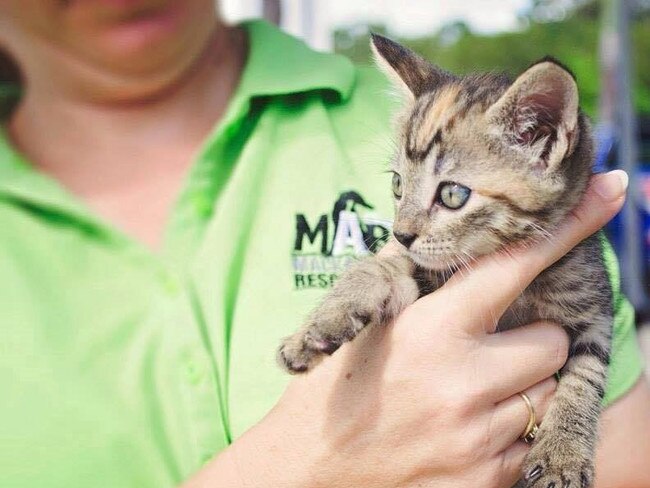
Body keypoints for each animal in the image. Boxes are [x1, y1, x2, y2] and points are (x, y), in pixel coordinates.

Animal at [276, 35, 612, 488]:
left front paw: (563, 453)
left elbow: (585, 377)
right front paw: (317, 328)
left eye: (453, 194)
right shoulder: (425, 282)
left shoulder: (594, 311)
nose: (401, 235)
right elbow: (376, 268)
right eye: (398, 185)